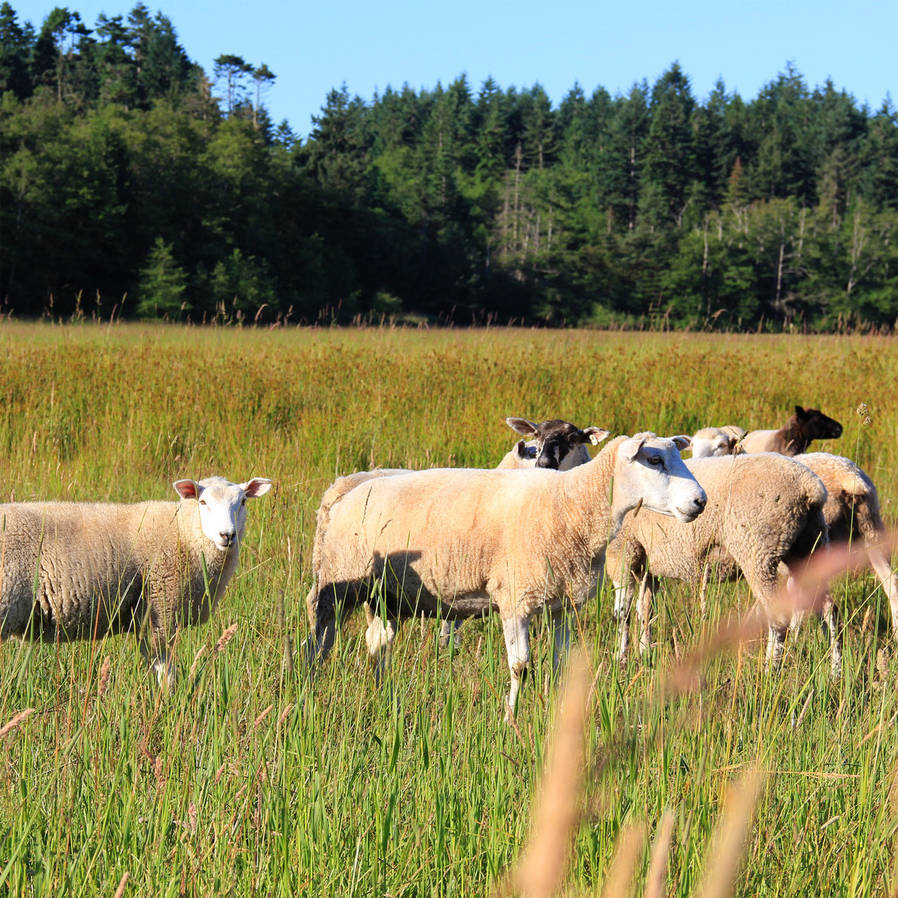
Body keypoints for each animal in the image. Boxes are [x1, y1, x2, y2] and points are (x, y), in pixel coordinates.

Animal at [0, 476, 272, 683]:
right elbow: (166, 671)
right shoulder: (162, 609)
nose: (227, 535)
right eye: (203, 502)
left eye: (243, 501)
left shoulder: (144, 617)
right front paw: (167, 705)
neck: (185, 533)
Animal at [304, 433, 707, 718]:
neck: (571, 504)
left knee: (378, 644)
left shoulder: (562, 603)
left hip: (384, 596)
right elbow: (520, 666)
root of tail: (343, 491)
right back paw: (310, 686)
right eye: (654, 460)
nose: (701, 501)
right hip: (338, 583)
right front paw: (511, 719)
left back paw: (381, 692)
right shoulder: (515, 598)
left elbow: (559, 664)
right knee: (320, 640)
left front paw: (555, 711)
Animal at [605, 453, 840, 675]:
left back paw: (770, 672)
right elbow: (645, 609)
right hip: (810, 545)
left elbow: (623, 612)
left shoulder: (623, 552)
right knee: (828, 608)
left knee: (779, 616)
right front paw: (644, 656)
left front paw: (620, 660)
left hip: (757, 549)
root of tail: (809, 486)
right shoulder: (647, 563)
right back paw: (835, 670)